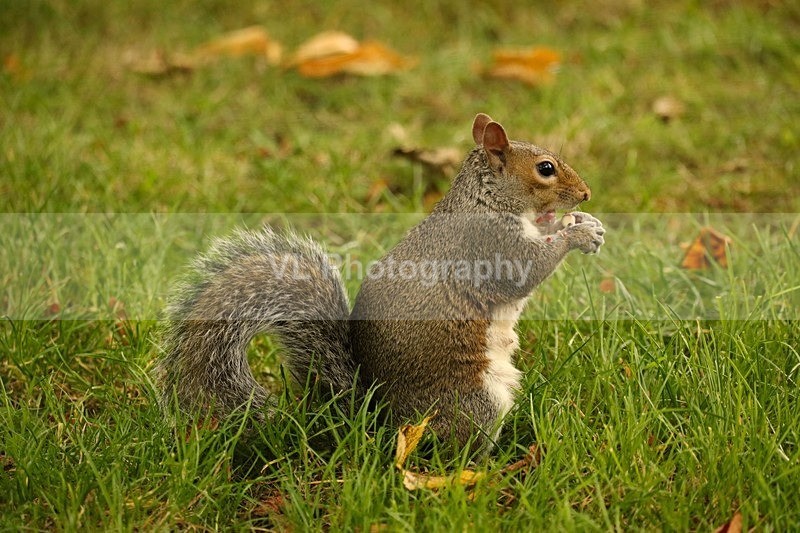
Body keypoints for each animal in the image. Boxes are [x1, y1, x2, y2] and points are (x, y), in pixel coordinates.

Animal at [155, 113, 605, 450]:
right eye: (545, 169)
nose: (585, 194)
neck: (488, 200)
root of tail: (378, 418)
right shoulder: (489, 245)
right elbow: (527, 269)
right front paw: (577, 233)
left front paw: (581, 222)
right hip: (471, 401)